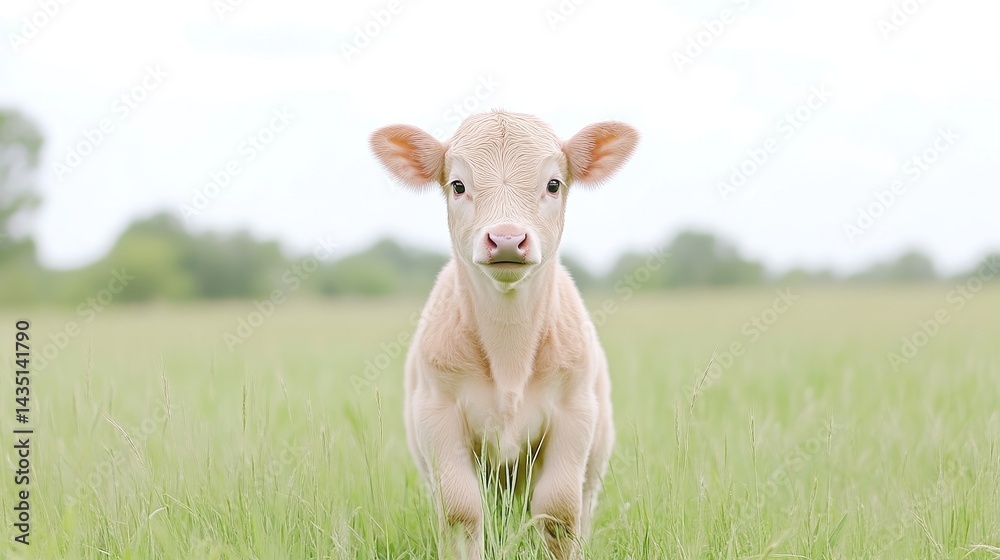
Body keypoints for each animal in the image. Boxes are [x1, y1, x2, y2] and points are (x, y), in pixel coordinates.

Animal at [369, 111, 638, 559]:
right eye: (458, 185)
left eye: (553, 184)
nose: (508, 239)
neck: (509, 353)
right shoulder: (437, 413)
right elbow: (460, 510)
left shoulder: (574, 412)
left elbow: (558, 509)